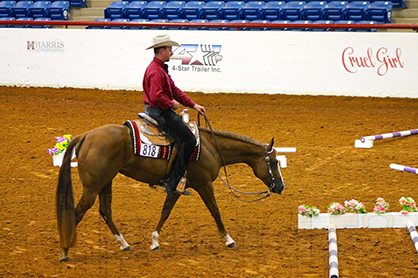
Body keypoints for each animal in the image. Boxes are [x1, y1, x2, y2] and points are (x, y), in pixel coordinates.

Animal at [56, 123, 284, 260]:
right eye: (273, 162)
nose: (281, 186)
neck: (209, 147)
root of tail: (86, 136)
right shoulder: (204, 184)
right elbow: (215, 211)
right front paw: (228, 239)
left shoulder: (176, 188)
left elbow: (165, 212)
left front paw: (155, 241)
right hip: (93, 186)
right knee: (76, 213)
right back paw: (65, 251)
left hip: (105, 182)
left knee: (105, 210)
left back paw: (124, 243)